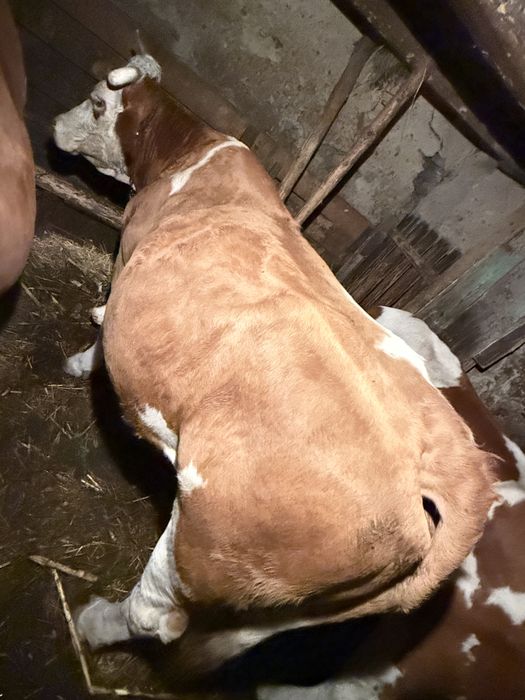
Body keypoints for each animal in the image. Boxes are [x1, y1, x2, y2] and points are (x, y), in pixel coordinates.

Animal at [53, 55, 496, 673]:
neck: (190, 155)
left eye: (97, 102)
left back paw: (92, 624)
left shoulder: (128, 253)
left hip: (208, 539)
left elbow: (103, 330)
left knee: (155, 615)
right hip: (298, 604)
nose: (53, 124)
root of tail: (454, 462)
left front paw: (78, 356)